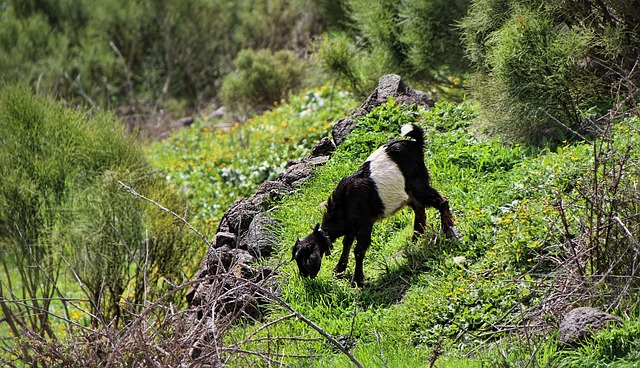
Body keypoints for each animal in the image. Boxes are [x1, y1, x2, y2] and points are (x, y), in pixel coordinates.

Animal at [290, 123, 460, 288]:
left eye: (304, 261)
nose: (304, 276)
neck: (344, 205)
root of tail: (416, 144)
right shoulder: (351, 228)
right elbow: (346, 244)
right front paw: (338, 270)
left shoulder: (365, 224)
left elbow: (359, 250)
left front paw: (356, 281)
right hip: (409, 194)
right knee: (420, 210)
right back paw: (414, 240)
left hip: (418, 184)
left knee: (441, 201)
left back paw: (448, 230)